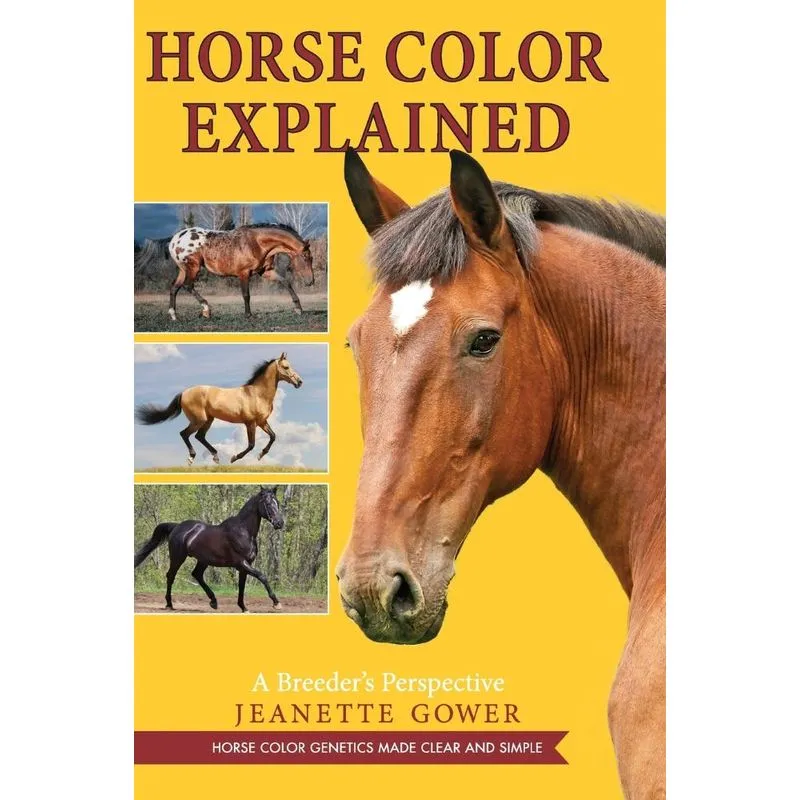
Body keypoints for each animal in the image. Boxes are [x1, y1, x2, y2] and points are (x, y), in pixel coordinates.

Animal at [134, 486, 285, 612]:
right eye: (268, 503)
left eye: (277, 502)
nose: (280, 523)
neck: (243, 532)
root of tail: (177, 527)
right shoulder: (241, 563)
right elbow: (262, 576)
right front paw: (276, 603)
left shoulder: (245, 566)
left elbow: (242, 586)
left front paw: (243, 607)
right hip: (178, 557)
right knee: (171, 575)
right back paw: (169, 604)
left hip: (203, 560)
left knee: (197, 574)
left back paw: (213, 601)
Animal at [135, 352, 303, 465]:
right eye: (286, 367)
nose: (299, 382)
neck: (257, 394)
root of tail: (184, 393)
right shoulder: (250, 423)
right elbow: (251, 444)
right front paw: (234, 458)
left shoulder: (262, 422)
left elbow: (273, 436)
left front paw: (261, 455)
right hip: (199, 419)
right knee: (185, 434)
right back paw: (191, 458)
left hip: (208, 420)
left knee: (199, 436)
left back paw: (215, 457)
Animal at [167, 222, 314, 320]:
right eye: (306, 257)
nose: (310, 281)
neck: (256, 243)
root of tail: (175, 240)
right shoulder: (244, 273)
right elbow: (246, 295)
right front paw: (248, 315)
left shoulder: (265, 272)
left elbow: (285, 282)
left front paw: (298, 308)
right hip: (193, 267)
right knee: (187, 285)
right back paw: (206, 310)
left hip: (183, 270)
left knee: (174, 287)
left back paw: (174, 315)